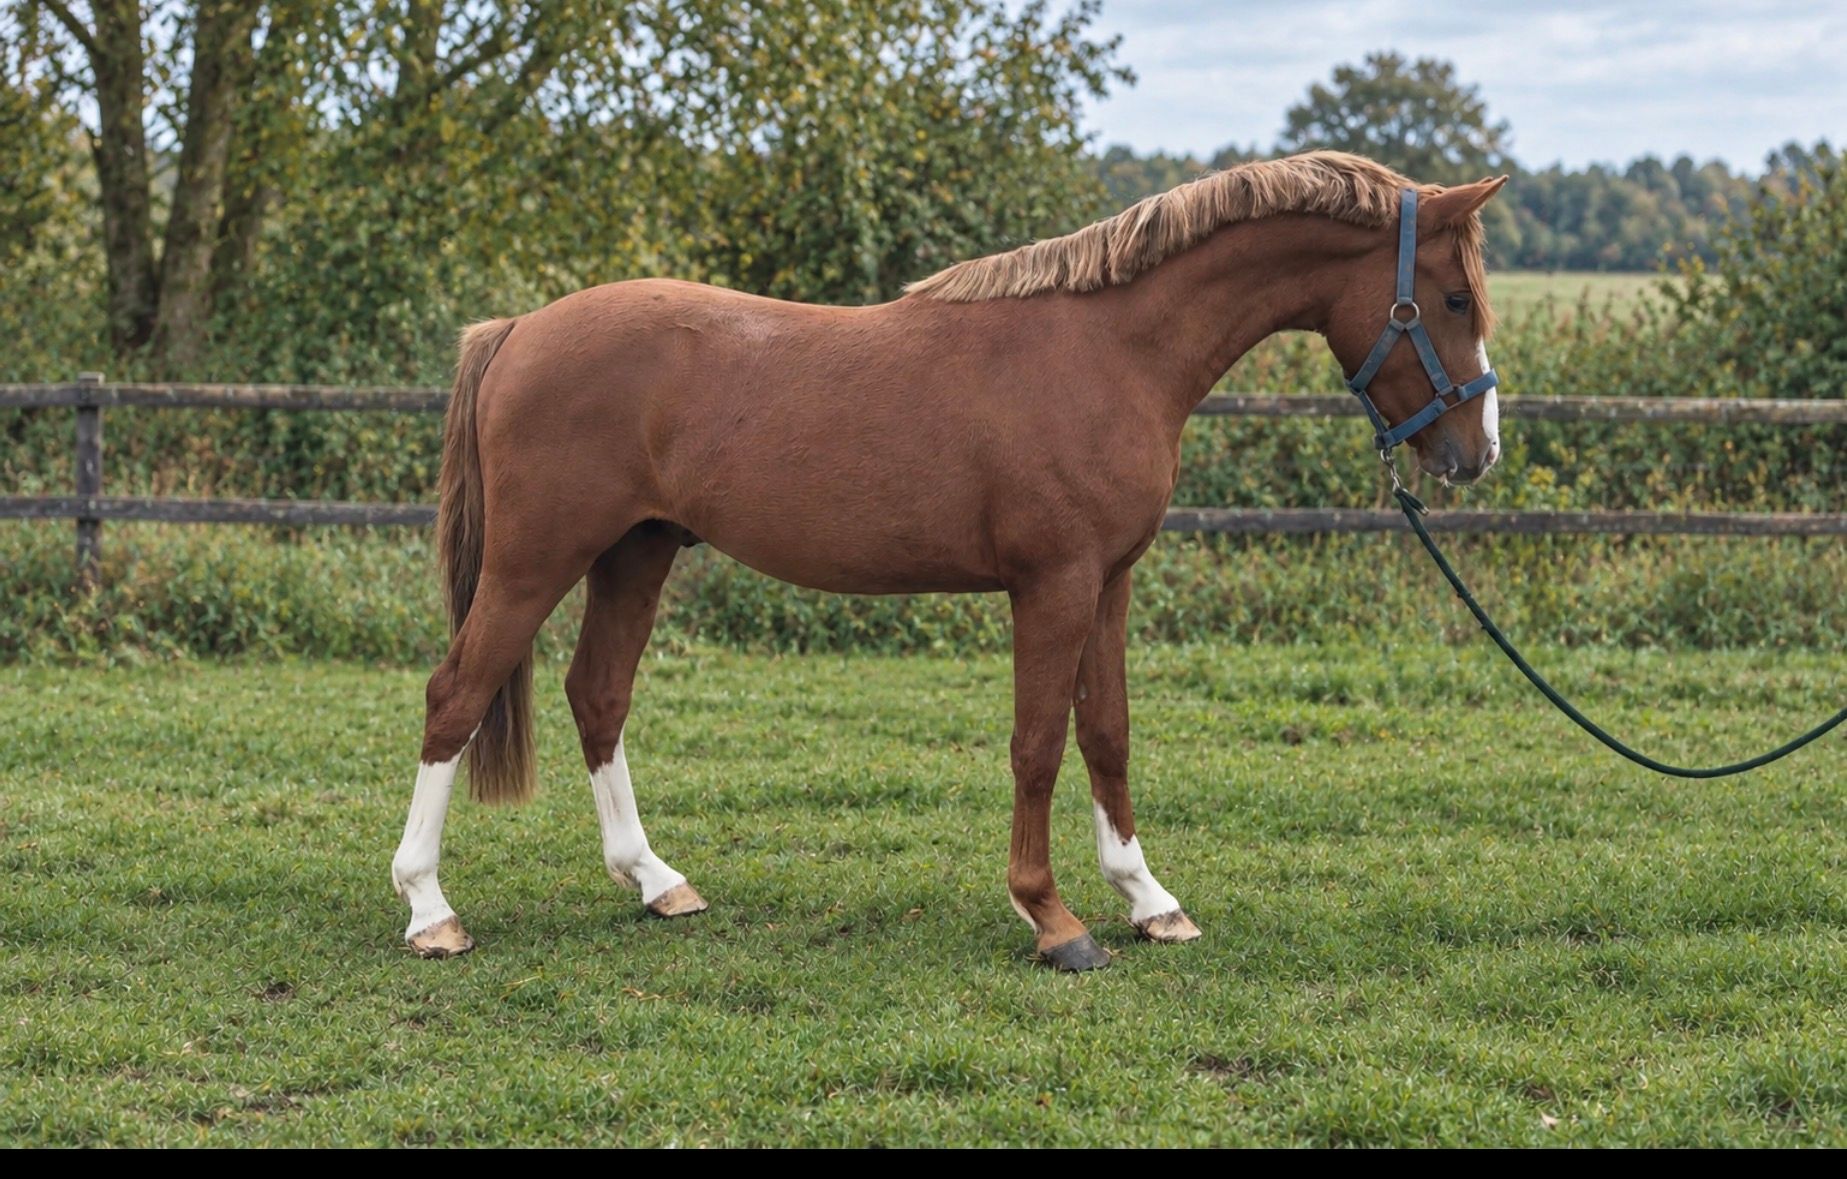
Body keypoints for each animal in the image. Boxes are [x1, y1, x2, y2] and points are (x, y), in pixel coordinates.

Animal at [390, 150, 1508, 971]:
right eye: (1450, 299)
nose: (1475, 452)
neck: (1110, 350)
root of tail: (519, 330)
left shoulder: (1108, 582)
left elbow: (1107, 734)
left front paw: (1148, 898)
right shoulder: (1052, 585)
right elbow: (1037, 746)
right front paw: (1053, 920)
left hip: (635, 553)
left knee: (597, 695)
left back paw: (657, 882)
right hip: (536, 561)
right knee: (455, 696)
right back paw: (430, 910)